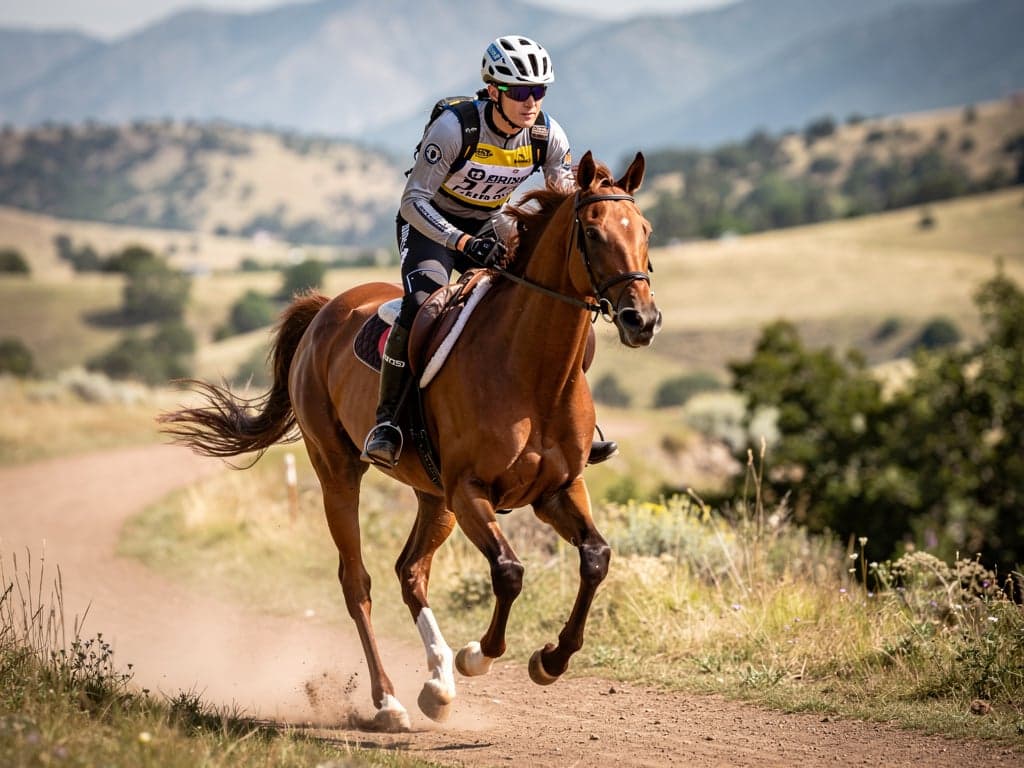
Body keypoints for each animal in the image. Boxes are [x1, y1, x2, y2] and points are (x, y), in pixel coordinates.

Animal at [159, 150, 661, 731]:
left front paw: (550, 660)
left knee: (410, 572)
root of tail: (327, 308)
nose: (642, 319)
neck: (533, 372)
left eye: (645, 230)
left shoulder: (558, 490)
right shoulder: (471, 492)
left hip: (432, 496)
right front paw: (477, 657)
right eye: (593, 232)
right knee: (358, 582)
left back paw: (437, 686)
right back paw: (390, 700)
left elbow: (596, 558)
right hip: (340, 474)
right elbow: (509, 571)